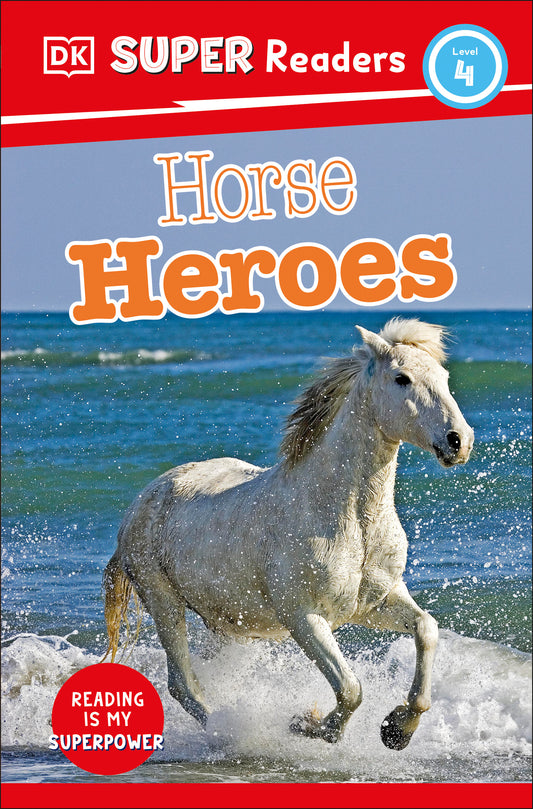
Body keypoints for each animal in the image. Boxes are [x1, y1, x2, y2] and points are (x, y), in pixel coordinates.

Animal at [103, 318, 474, 750]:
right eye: (402, 378)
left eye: (444, 378)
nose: (458, 441)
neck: (350, 521)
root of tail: (141, 502)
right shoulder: (304, 618)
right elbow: (350, 688)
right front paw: (310, 725)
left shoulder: (375, 604)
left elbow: (426, 630)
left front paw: (398, 728)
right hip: (163, 602)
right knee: (183, 684)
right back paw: (228, 733)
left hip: (226, 622)